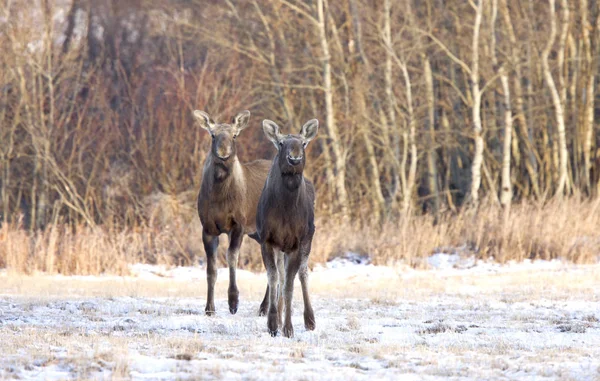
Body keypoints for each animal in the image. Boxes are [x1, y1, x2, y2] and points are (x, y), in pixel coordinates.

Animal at [195, 109, 270, 314]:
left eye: (235, 135)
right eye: (213, 135)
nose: (223, 153)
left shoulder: (239, 224)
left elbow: (231, 257)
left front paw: (234, 301)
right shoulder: (207, 228)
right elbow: (211, 268)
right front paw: (209, 308)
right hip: (259, 234)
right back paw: (264, 307)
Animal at [254, 118, 318, 336]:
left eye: (304, 143)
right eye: (281, 143)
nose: (294, 158)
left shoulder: (296, 243)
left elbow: (289, 285)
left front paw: (288, 328)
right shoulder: (266, 240)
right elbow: (274, 279)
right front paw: (273, 323)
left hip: (308, 239)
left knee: (303, 273)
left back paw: (310, 320)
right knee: (281, 276)